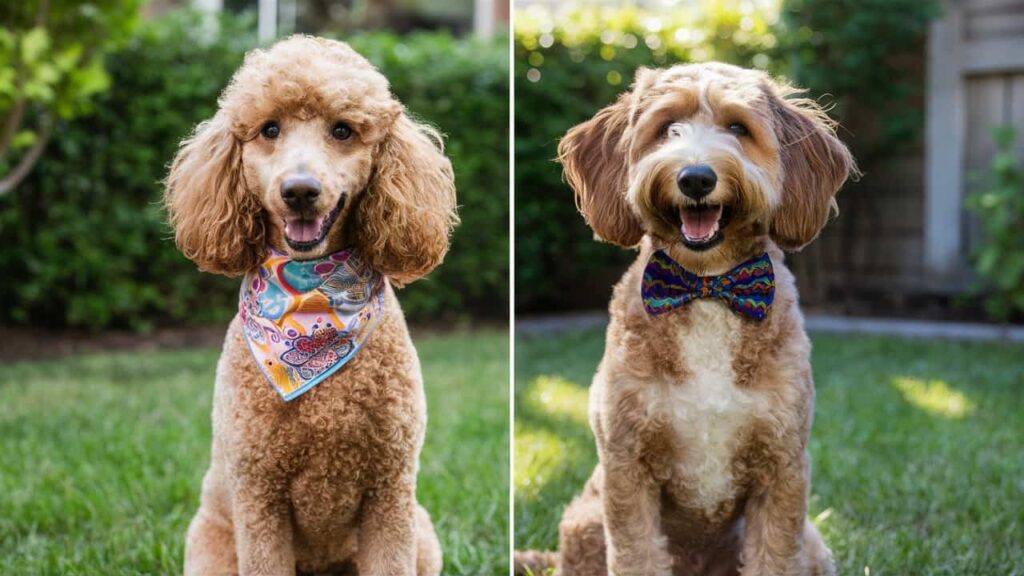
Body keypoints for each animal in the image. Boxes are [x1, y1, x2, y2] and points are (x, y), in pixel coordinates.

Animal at [163, 36, 456, 573]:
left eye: (342, 130)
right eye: (269, 129)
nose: (299, 191)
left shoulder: (390, 492)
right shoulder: (259, 498)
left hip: (422, 533)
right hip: (211, 546)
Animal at [512, 62, 856, 573]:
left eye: (738, 128)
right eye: (666, 128)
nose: (695, 178)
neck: (706, 287)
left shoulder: (783, 469)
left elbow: (773, 556)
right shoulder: (627, 468)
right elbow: (636, 555)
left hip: (811, 543)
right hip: (585, 522)